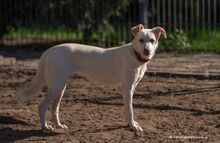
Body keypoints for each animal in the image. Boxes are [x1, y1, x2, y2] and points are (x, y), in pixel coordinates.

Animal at [16, 24, 166, 132]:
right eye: (141, 40)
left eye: (152, 40)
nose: (147, 51)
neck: (135, 55)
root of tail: (49, 50)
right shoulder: (127, 88)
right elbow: (130, 110)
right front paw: (133, 127)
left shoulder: (132, 88)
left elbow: (129, 110)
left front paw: (132, 124)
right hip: (56, 86)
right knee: (42, 106)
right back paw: (45, 127)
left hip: (60, 87)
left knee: (54, 109)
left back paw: (58, 126)